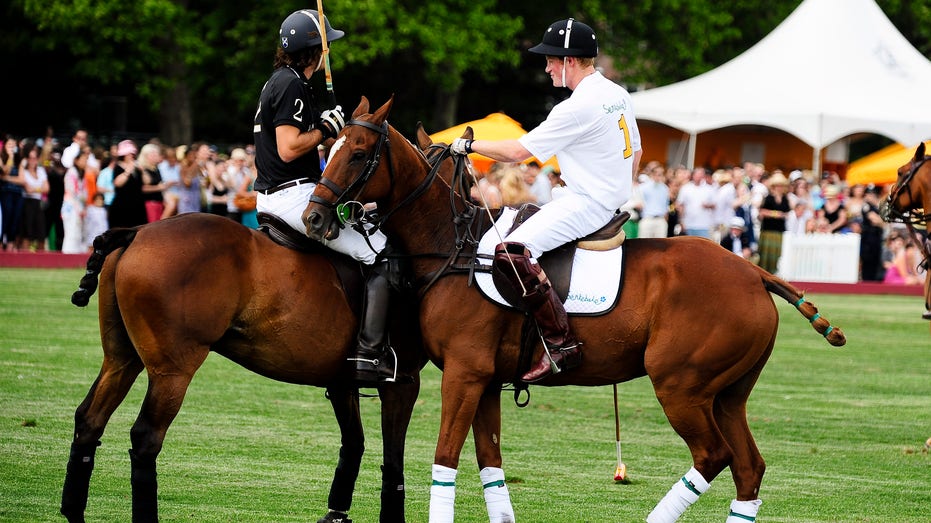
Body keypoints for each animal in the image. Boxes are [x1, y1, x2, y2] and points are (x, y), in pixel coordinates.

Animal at [58, 213, 422, 523]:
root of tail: (136, 232)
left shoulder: (342, 381)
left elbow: (354, 443)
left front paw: (336, 514)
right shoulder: (403, 380)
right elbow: (393, 459)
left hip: (121, 359)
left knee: (89, 419)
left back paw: (74, 511)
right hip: (173, 370)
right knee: (146, 436)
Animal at [302, 98, 848, 523]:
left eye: (357, 153)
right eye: (329, 149)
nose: (314, 218)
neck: (452, 248)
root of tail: (755, 273)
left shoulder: (464, 371)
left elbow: (444, 459)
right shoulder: (487, 379)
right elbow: (490, 465)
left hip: (681, 384)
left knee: (713, 455)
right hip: (727, 393)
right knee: (749, 468)